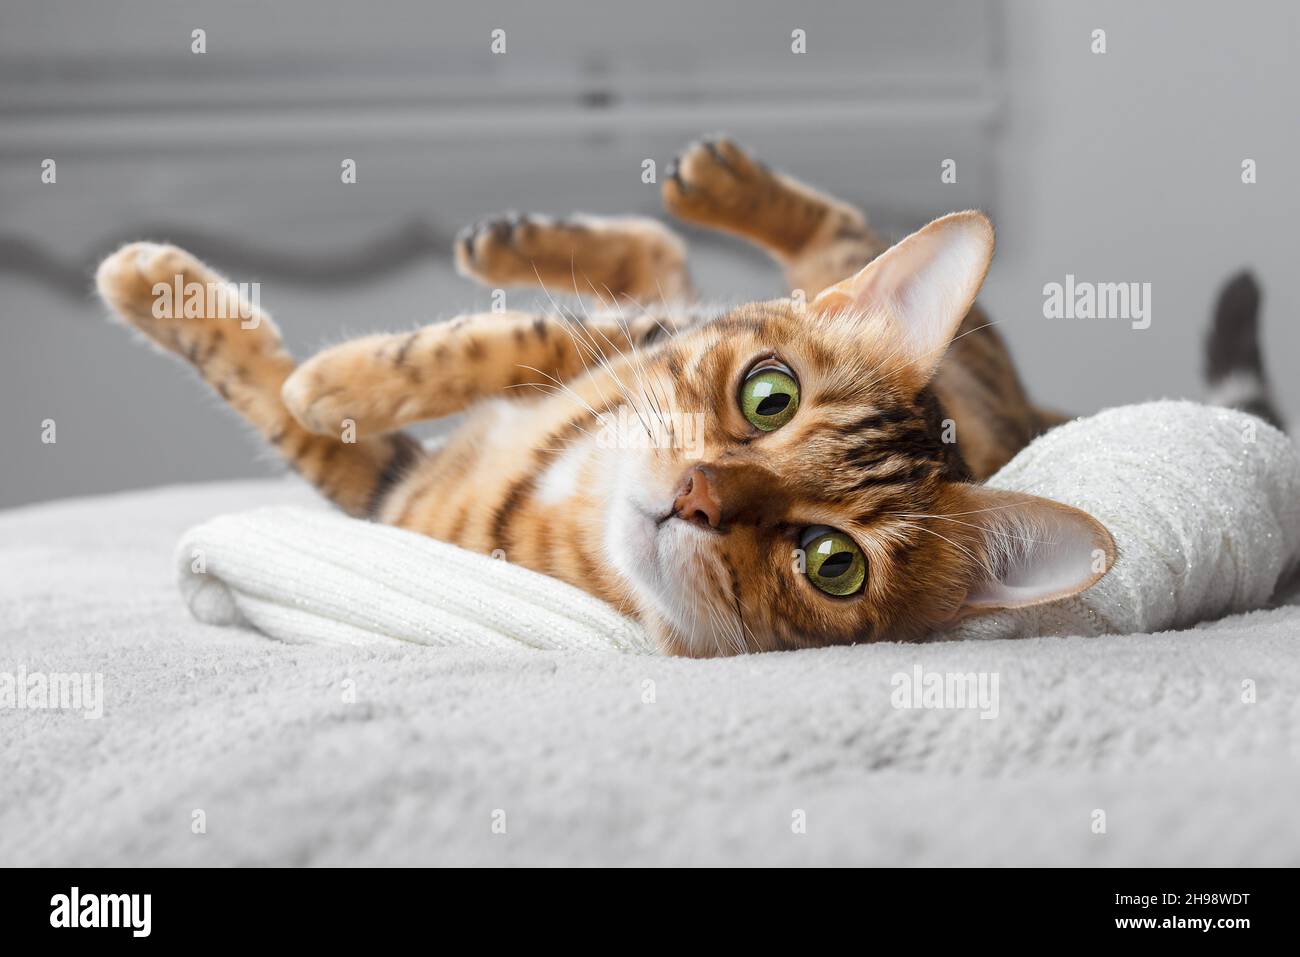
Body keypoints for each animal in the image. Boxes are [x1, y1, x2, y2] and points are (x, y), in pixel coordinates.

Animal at [98, 136, 1118, 657]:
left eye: (833, 563)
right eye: (771, 396)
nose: (697, 493)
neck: (570, 491)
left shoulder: (390, 492)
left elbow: (277, 406)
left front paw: (294, 370)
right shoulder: (625, 341)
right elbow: (483, 344)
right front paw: (335, 371)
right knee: (724, 245)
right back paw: (667, 192)